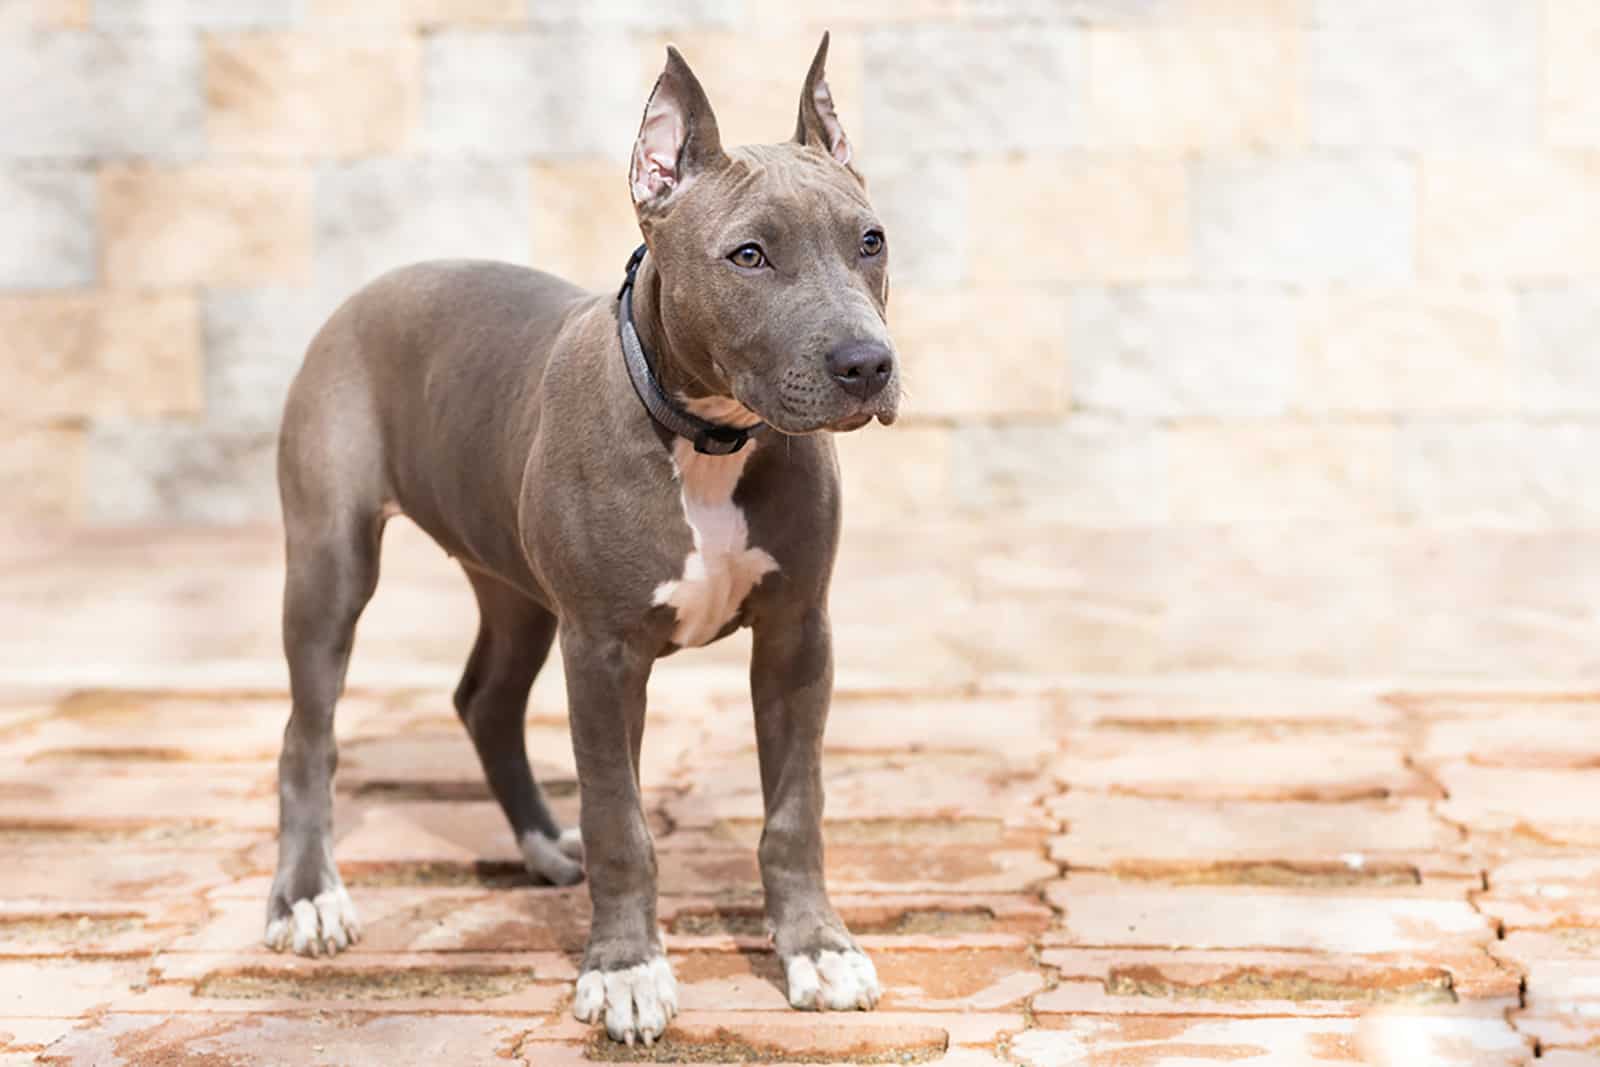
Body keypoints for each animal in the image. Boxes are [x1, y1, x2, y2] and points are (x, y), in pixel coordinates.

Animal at [270, 35, 908, 1049]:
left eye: (870, 240)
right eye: (750, 254)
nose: (867, 364)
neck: (709, 438)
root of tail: (375, 285)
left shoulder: (798, 635)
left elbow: (794, 811)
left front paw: (818, 948)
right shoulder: (603, 653)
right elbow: (620, 822)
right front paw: (626, 971)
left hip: (516, 589)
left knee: (485, 701)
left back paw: (539, 840)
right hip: (332, 562)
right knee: (308, 732)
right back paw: (307, 898)